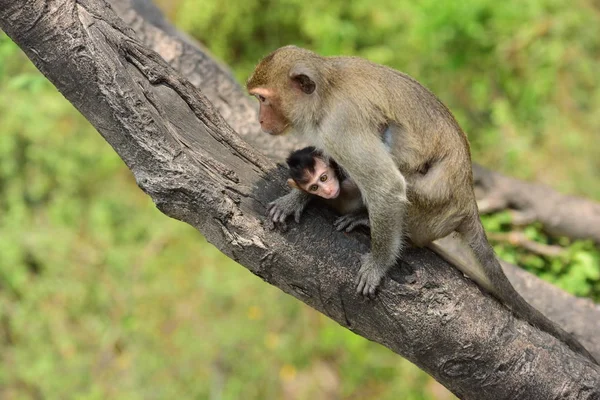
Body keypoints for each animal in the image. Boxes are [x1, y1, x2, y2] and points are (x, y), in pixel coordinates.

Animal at [246, 46, 596, 362]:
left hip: (430, 210)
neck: (325, 90)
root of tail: (468, 202)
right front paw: (298, 196)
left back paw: (369, 220)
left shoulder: (340, 124)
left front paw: (378, 264)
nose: (260, 120)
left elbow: (386, 185)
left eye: (263, 99)